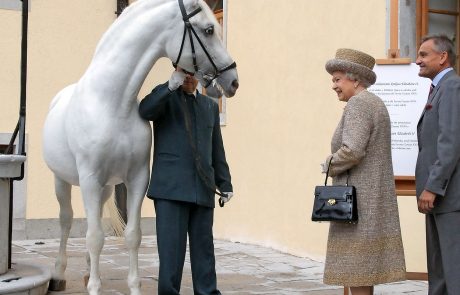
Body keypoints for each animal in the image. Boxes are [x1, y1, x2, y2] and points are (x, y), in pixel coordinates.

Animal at [41, 0, 239, 294]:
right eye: (208, 29)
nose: (233, 80)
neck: (112, 103)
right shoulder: (89, 178)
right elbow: (94, 237)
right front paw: (95, 288)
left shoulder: (136, 178)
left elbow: (131, 235)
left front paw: (130, 286)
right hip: (62, 180)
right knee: (66, 220)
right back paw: (58, 274)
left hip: (105, 187)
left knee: (91, 220)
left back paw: (88, 271)